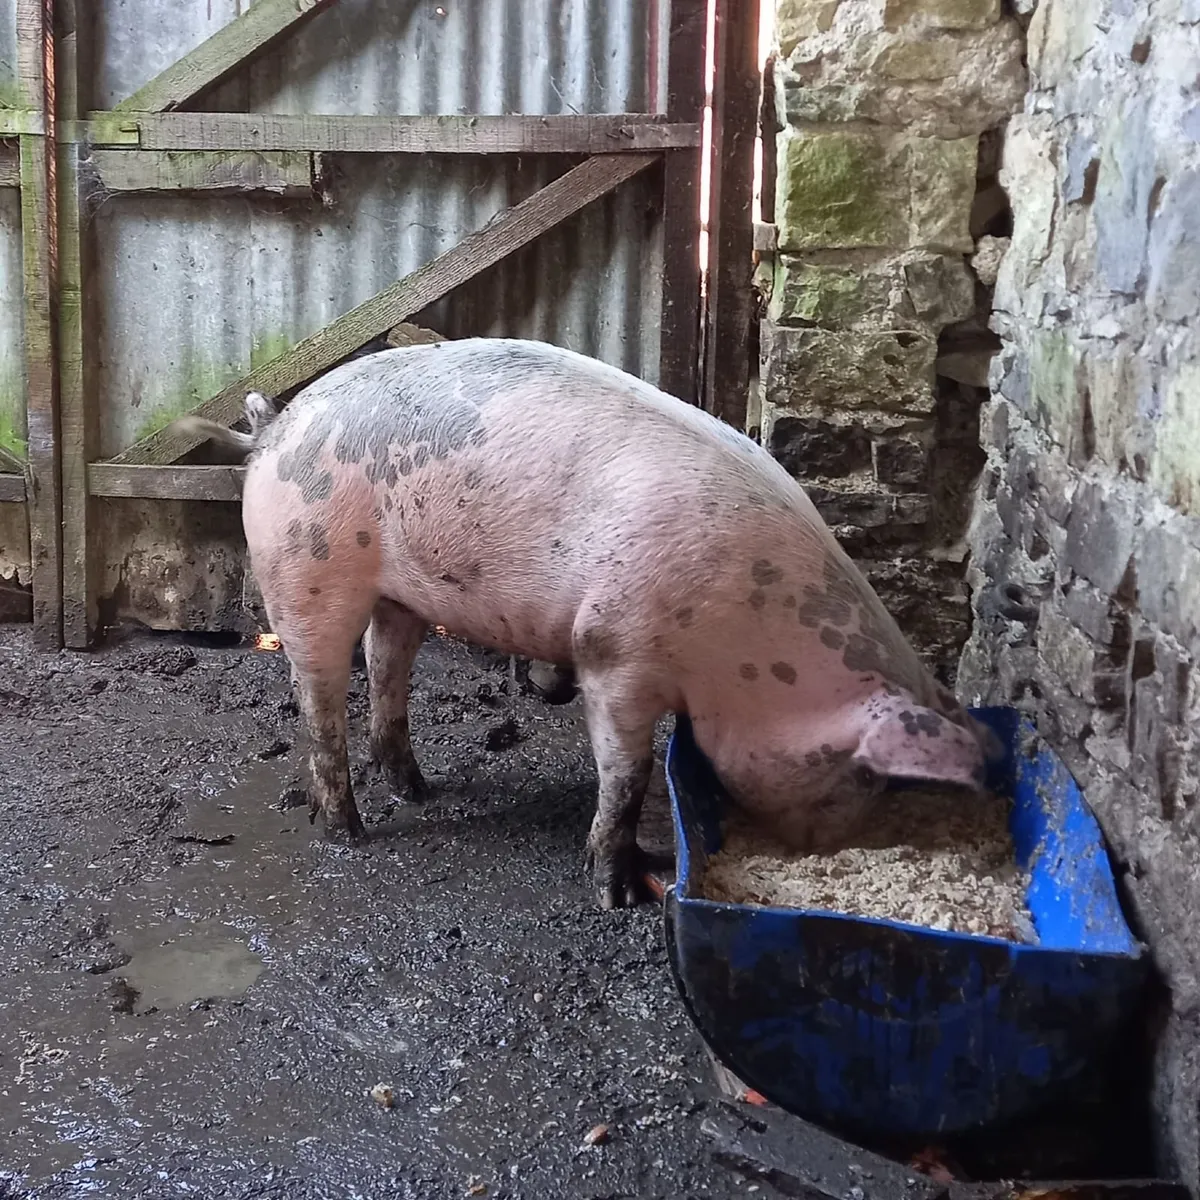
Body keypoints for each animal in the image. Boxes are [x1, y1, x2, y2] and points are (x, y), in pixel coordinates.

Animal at [178, 338, 998, 909]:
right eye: (862, 773)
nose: (824, 852)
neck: (755, 640)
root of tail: (272, 428)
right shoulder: (614, 651)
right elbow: (626, 773)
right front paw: (618, 894)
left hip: (400, 591)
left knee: (387, 662)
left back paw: (419, 790)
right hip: (305, 568)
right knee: (319, 695)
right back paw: (348, 828)